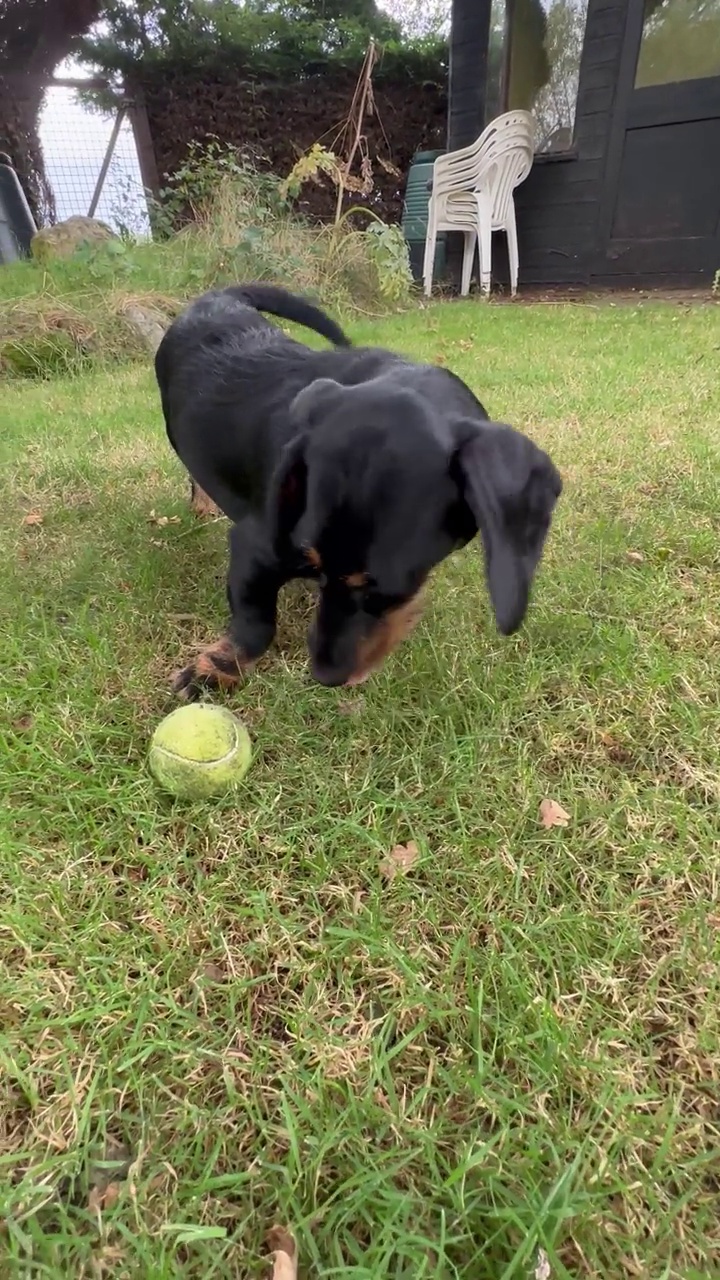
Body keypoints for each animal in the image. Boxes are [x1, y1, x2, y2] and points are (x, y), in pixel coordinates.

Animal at [155, 285, 561, 696]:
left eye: (389, 592)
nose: (326, 676)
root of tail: (216, 298)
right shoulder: (255, 547)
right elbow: (257, 622)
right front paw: (214, 672)